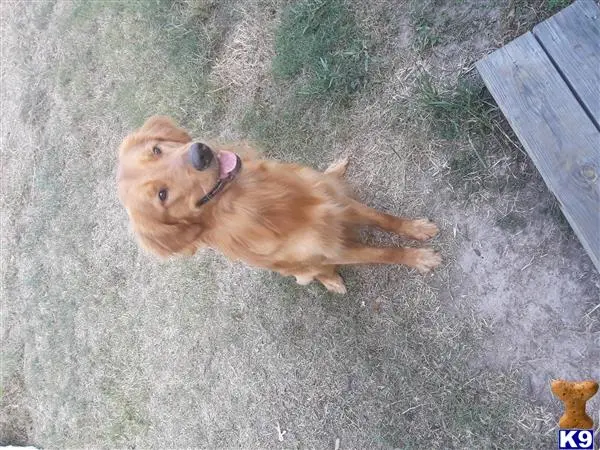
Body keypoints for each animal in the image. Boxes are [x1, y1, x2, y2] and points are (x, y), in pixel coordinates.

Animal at [117, 116, 440, 294]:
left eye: (156, 149)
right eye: (162, 195)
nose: (201, 153)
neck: (263, 200)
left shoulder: (335, 200)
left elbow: (383, 218)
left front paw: (417, 229)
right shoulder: (333, 251)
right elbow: (382, 253)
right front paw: (418, 258)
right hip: (305, 272)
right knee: (315, 275)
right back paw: (332, 282)